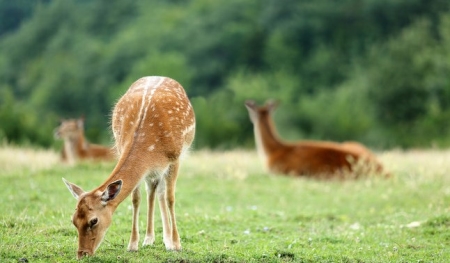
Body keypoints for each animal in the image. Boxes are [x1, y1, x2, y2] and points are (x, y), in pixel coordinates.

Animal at [62, 76, 195, 260]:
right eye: (74, 220)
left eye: (94, 220)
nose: (82, 254)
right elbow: (135, 199)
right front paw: (132, 245)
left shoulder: (174, 159)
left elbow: (170, 198)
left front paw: (176, 244)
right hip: (151, 171)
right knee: (153, 192)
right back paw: (149, 239)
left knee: (161, 193)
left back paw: (168, 240)